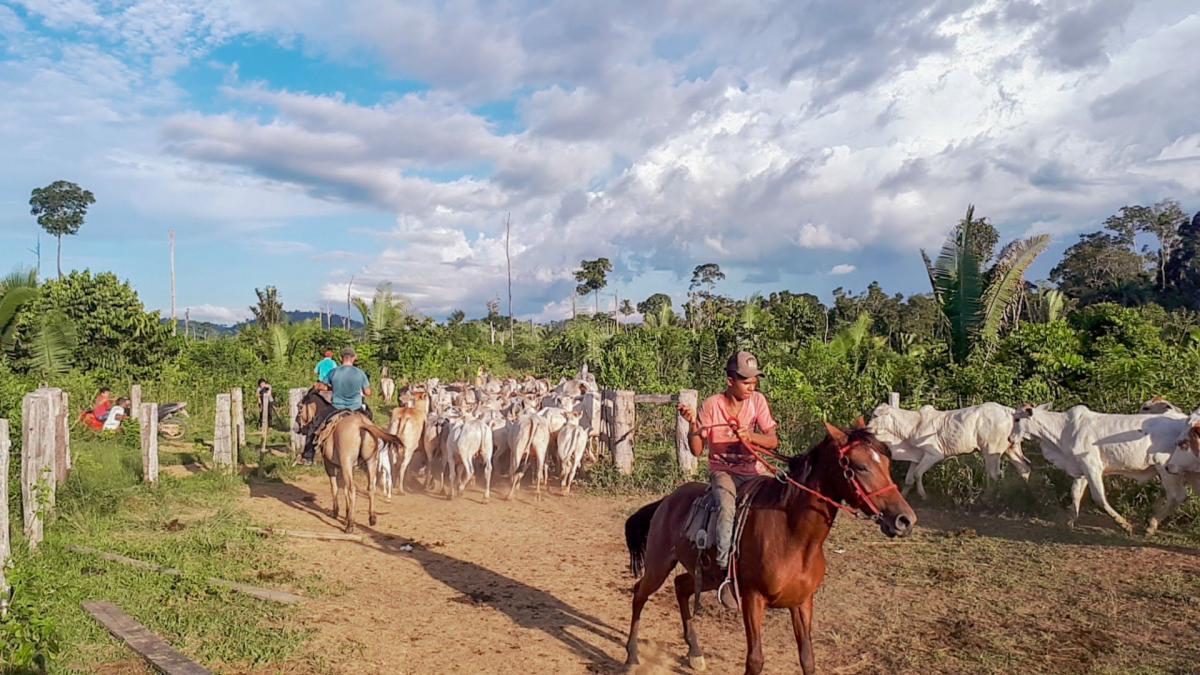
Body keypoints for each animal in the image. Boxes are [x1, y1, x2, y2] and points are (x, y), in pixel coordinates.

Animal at [295, 389, 403, 530]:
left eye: (300, 408)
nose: (298, 428)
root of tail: (361, 424)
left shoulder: (330, 464)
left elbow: (335, 487)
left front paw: (336, 512)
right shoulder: (346, 466)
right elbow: (344, 489)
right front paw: (346, 514)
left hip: (347, 462)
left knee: (353, 489)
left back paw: (350, 525)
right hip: (371, 462)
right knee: (370, 487)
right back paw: (371, 518)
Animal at [624, 417, 912, 667]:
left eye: (887, 464)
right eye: (860, 466)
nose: (905, 519)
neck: (793, 537)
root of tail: (667, 500)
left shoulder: (802, 602)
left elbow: (807, 658)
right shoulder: (753, 599)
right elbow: (755, 660)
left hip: (707, 575)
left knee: (681, 587)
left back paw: (695, 652)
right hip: (659, 564)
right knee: (639, 593)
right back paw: (632, 655)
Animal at [864, 398, 1032, 499]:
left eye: (875, 415)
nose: (866, 428)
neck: (913, 425)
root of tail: (1011, 412)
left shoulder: (933, 455)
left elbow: (917, 474)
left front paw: (923, 495)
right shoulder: (917, 456)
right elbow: (909, 479)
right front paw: (903, 496)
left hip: (991, 452)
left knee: (995, 474)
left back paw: (988, 499)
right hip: (1012, 448)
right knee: (1024, 467)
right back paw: (1027, 493)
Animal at [1008, 401, 1195, 533]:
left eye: (1017, 419)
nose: (1009, 439)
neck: (1062, 432)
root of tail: (1183, 420)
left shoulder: (1092, 467)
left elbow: (1099, 498)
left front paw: (1125, 525)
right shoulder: (1081, 471)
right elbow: (1075, 494)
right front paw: (1069, 522)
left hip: (1167, 469)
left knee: (1177, 496)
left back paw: (1151, 525)